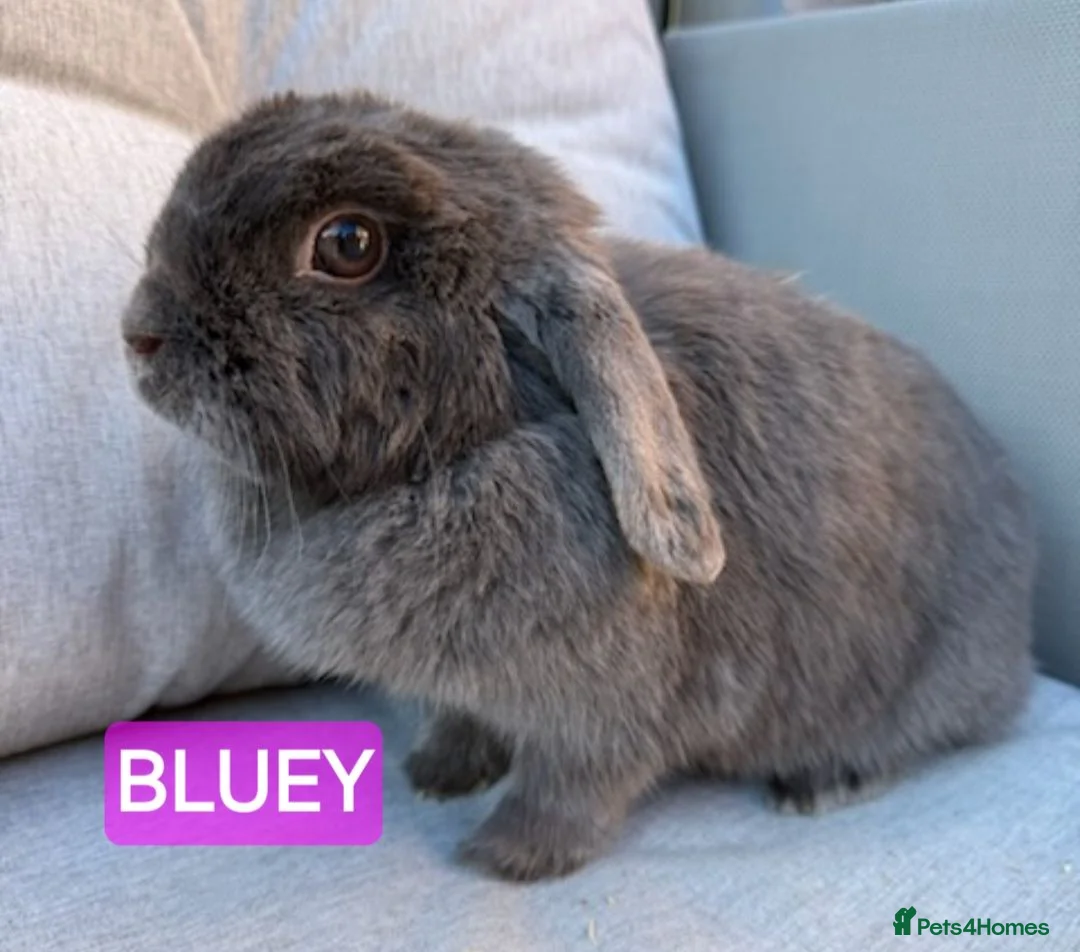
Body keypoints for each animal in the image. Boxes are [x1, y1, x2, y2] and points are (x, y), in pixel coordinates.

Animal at [121, 90, 1036, 881]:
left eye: (347, 243)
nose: (139, 333)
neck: (480, 443)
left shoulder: (600, 719)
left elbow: (574, 786)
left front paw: (506, 856)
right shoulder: (468, 693)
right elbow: (461, 721)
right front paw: (438, 775)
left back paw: (821, 783)